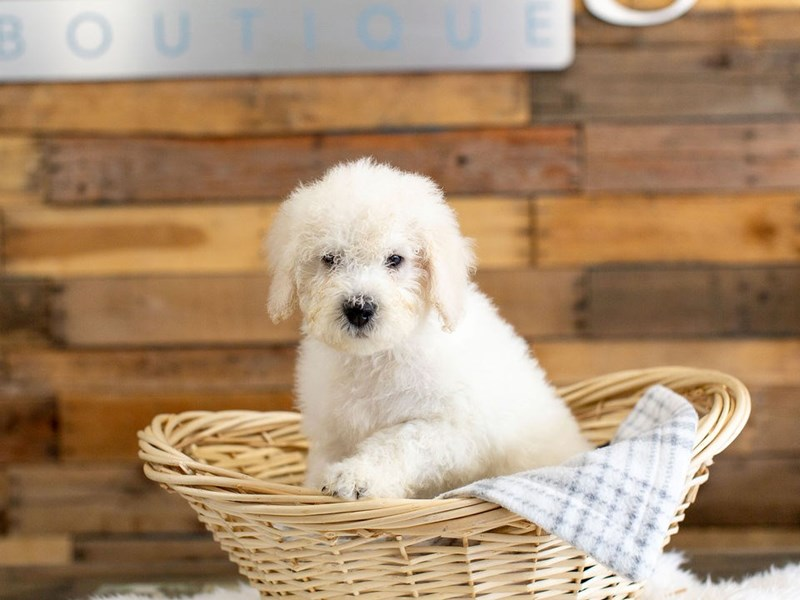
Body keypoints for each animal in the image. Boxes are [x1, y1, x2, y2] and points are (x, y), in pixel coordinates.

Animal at [266, 157, 592, 500]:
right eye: (330, 258)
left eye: (395, 259)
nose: (359, 308)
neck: (375, 358)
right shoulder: (331, 432)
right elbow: (323, 462)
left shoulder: (453, 428)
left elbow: (398, 441)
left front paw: (356, 476)